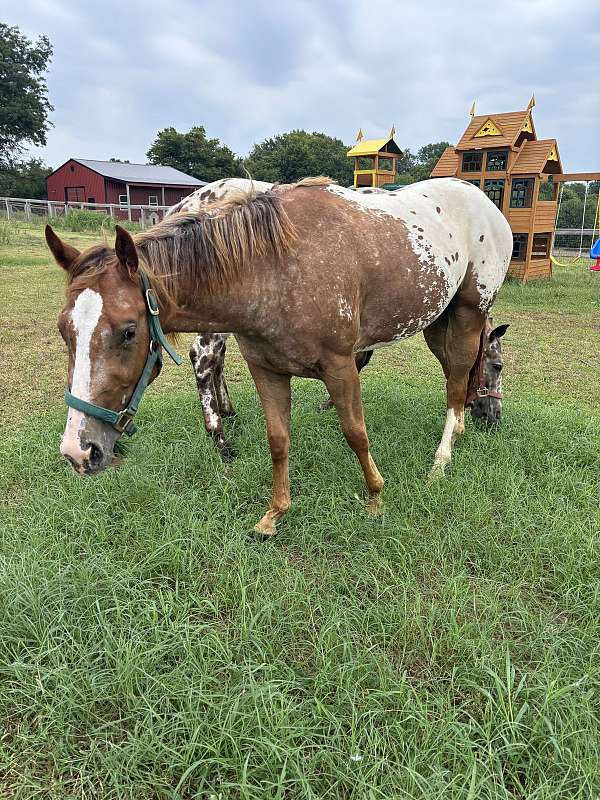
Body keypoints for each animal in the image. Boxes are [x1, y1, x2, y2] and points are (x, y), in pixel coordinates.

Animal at [45, 178, 510, 536]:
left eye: (128, 331)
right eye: (64, 330)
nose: (78, 451)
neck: (275, 268)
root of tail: (485, 202)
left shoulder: (341, 365)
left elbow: (355, 432)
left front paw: (376, 498)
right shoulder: (266, 370)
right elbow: (278, 440)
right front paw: (274, 514)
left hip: (466, 313)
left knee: (456, 380)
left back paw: (442, 459)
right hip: (439, 320)